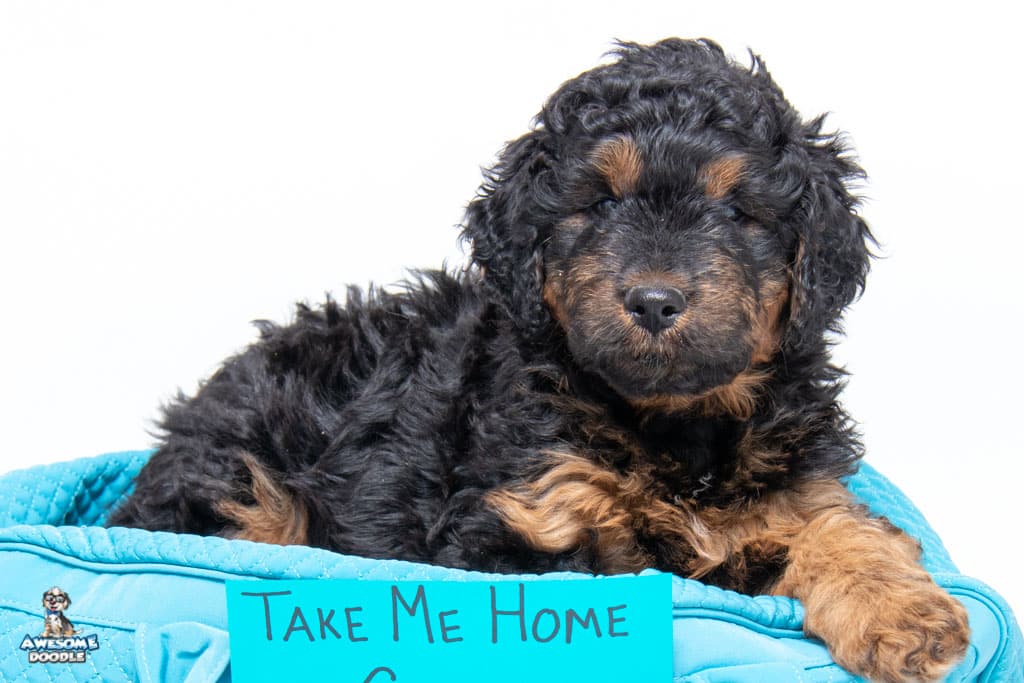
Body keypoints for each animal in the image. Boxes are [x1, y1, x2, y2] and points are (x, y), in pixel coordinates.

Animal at [112, 40, 966, 679]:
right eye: (601, 202)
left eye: (737, 210)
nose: (655, 300)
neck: (672, 427)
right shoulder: (513, 529)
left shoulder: (798, 478)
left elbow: (842, 525)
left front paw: (906, 617)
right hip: (245, 489)